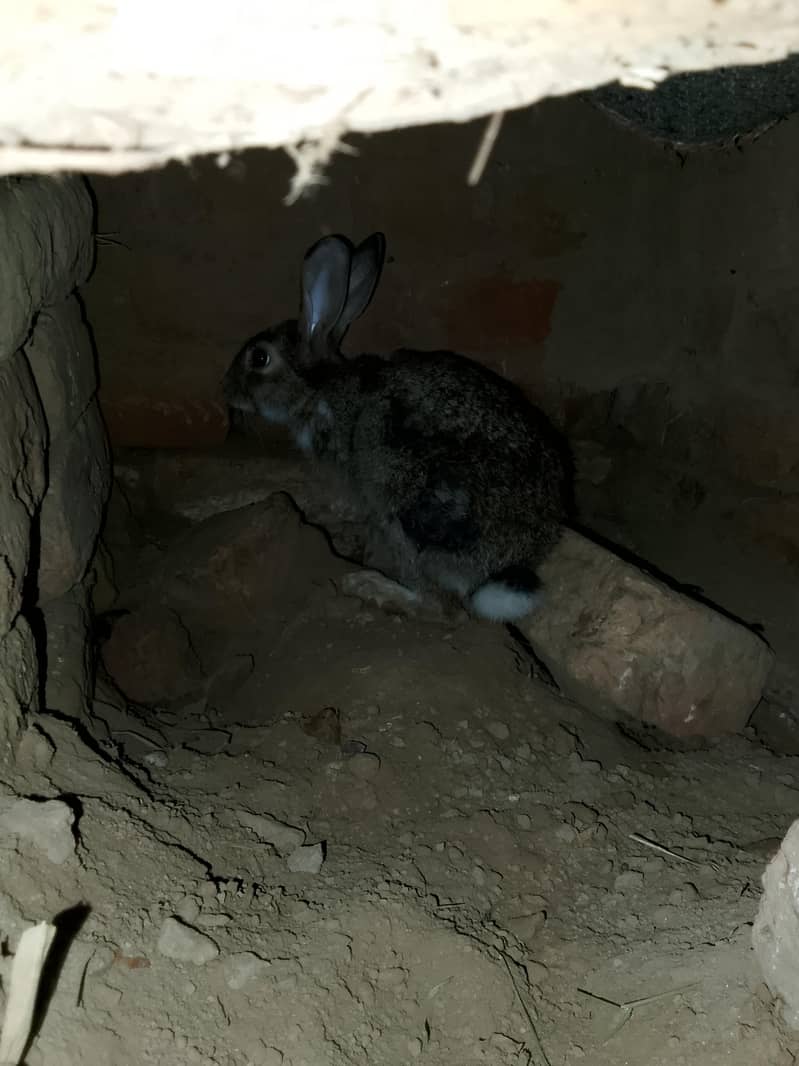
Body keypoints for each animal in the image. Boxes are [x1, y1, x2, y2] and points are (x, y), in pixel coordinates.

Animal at [223, 231, 570, 622]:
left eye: (259, 357)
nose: (225, 390)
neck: (317, 389)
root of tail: (515, 559)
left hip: (404, 506)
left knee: (441, 606)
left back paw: (372, 587)